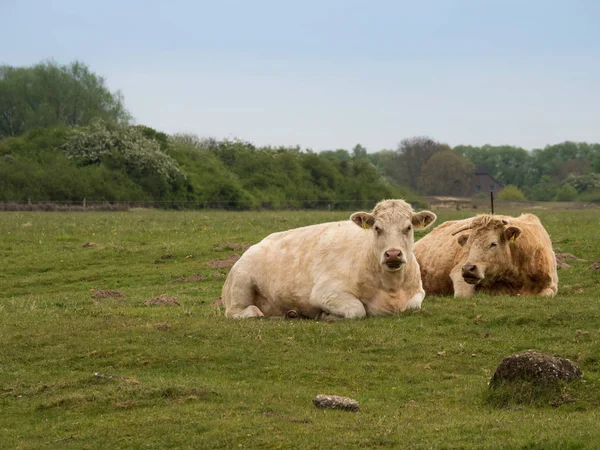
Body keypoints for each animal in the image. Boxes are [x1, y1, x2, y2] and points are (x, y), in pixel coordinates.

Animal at [220, 200, 436, 320]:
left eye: (408, 227)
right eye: (377, 228)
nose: (393, 254)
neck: (391, 288)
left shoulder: (419, 292)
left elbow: (412, 305)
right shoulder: (325, 292)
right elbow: (357, 310)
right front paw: (327, 316)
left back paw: (291, 313)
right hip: (241, 284)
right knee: (238, 311)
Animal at [412, 214, 556, 298]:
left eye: (493, 243)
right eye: (469, 244)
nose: (468, 269)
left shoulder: (551, 285)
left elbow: (545, 295)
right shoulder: (459, 273)